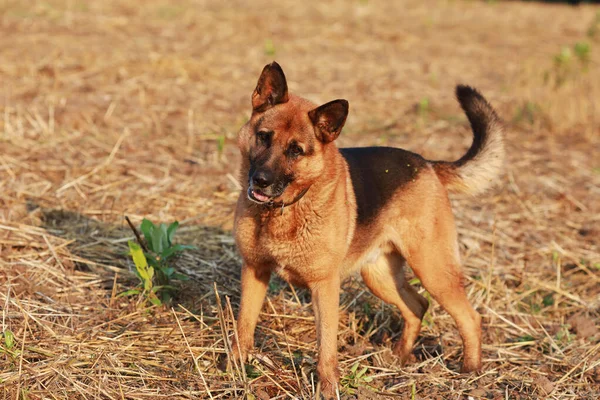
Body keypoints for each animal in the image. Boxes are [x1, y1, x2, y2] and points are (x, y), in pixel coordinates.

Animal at [232, 62, 504, 396]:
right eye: (263, 137)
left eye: (296, 151)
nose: (261, 181)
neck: (285, 209)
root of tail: (428, 164)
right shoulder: (254, 271)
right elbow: (244, 327)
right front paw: (234, 370)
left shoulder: (324, 287)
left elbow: (326, 347)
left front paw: (328, 389)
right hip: (379, 276)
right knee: (417, 306)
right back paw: (399, 357)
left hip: (434, 271)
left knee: (470, 317)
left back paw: (471, 373)